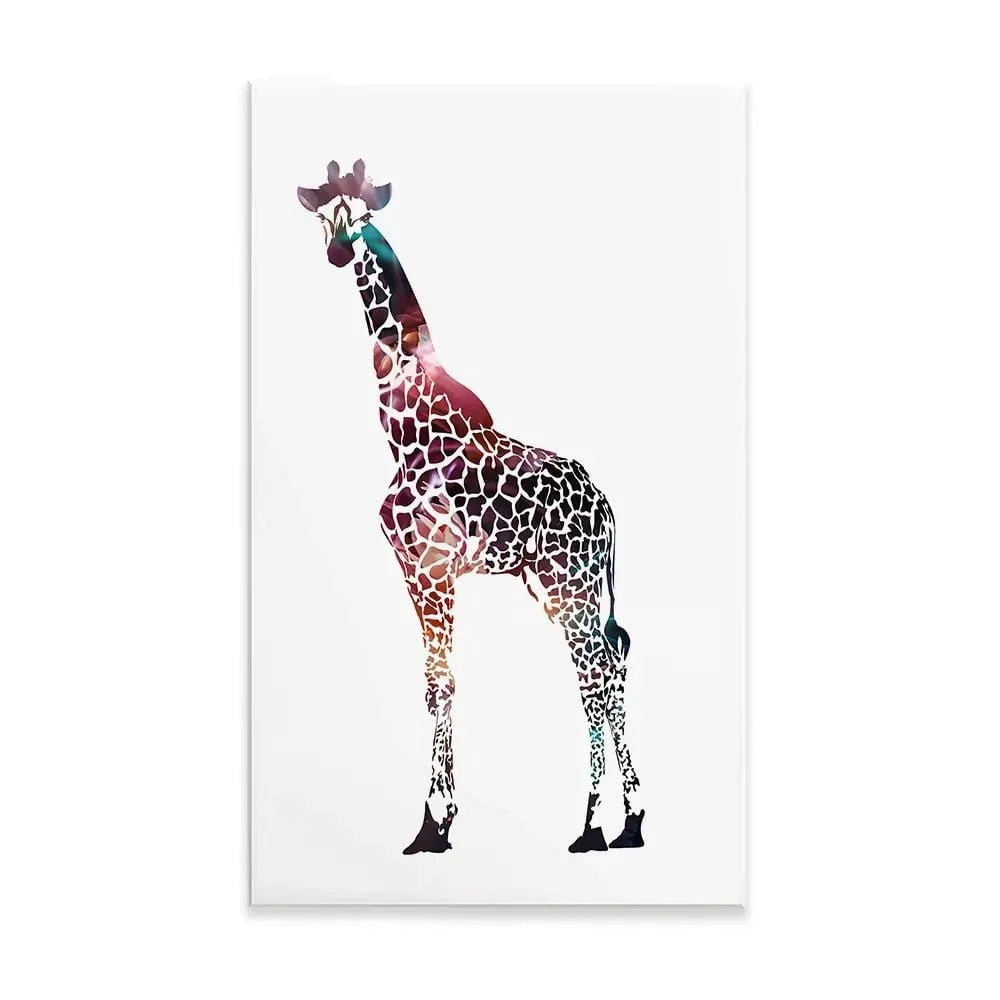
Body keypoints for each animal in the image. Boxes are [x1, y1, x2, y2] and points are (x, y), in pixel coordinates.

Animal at [297, 159, 645, 854]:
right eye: (325, 214)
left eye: (365, 215)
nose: (339, 251)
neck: (406, 428)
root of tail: (608, 508)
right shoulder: (415, 572)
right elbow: (436, 684)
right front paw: (435, 821)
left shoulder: (434, 571)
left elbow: (444, 682)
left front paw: (435, 820)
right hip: (560, 588)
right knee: (611, 667)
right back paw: (629, 821)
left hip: (571, 585)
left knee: (595, 677)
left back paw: (593, 824)